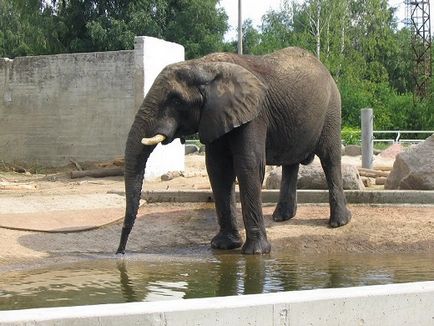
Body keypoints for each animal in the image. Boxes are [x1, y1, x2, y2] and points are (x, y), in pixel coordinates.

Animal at [116, 46, 352, 255]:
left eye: (175, 99)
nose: (120, 252)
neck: (203, 66)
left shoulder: (254, 114)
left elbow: (248, 166)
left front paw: (256, 253)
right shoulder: (214, 116)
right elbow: (218, 169)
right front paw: (223, 246)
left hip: (332, 109)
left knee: (330, 158)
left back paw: (339, 223)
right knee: (291, 163)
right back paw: (282, 218)